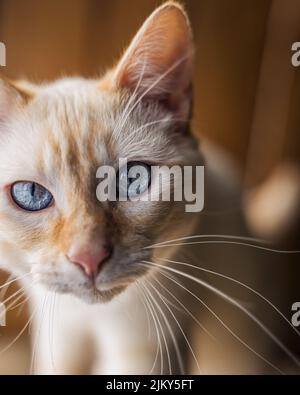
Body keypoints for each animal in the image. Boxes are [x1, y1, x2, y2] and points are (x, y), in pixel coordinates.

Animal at [0, 1, 298, 376]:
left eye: (133, 180)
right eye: (31, 194)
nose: (89, 257)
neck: (92, 319)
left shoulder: (148, 348)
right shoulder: (59, 337)